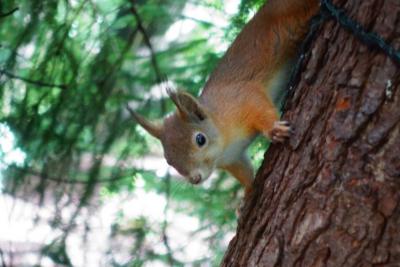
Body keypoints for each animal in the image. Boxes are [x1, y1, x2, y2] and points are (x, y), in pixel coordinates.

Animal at [128, 0, 318, 197]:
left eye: (200, 139)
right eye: (168, 159)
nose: (195, 179)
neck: (224, 142)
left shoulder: (243, 98)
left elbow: (260, 108)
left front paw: (274, 129)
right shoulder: (233, 158)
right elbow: (245, 172)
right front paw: (248, 194)